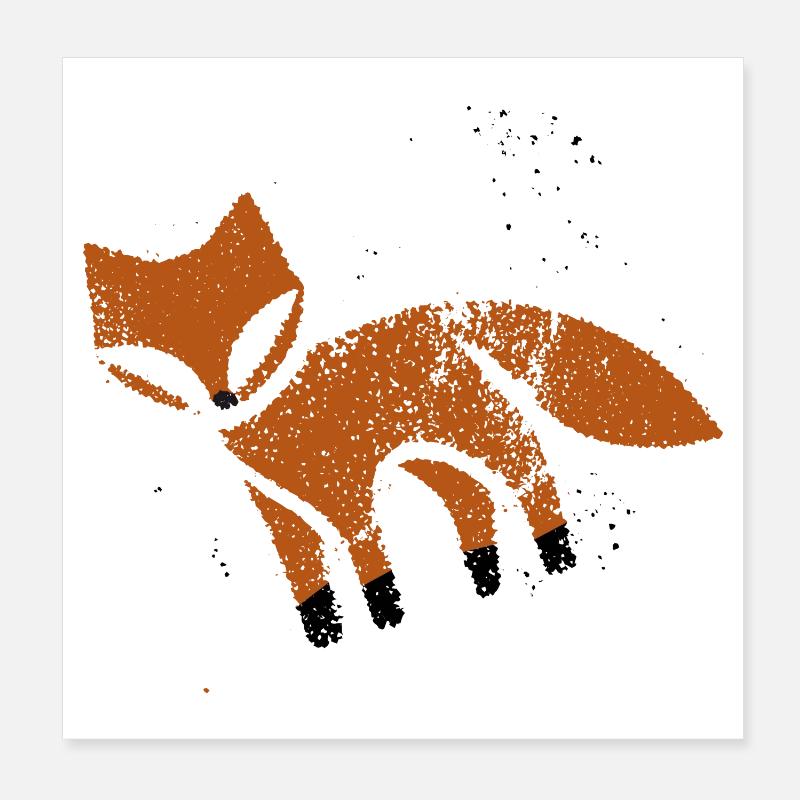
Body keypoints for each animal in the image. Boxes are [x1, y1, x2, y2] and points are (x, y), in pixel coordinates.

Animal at [83, 193, 722, 647]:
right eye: (162, 359)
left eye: (248, 333)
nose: (223, 398)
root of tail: (445, 307)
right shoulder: (275, 510)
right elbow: (306, 580)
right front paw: (324, 633)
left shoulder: (345, 489)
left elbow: (369, 562)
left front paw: (384, 614)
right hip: (425, 455)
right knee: (472, 498)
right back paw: (485, 576)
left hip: (476, 432)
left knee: (529, 468)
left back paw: (555, 552)